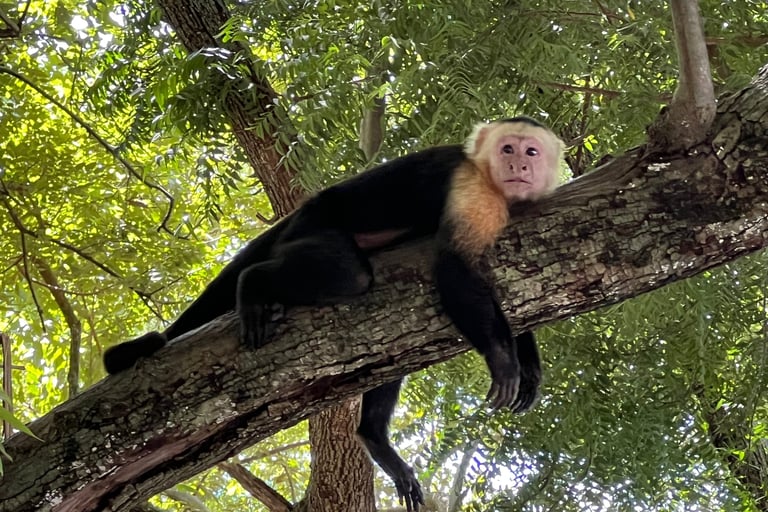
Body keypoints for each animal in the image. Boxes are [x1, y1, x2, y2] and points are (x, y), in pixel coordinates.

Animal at [103, 117, 564, 512]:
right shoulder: (472, 190)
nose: (518, 164)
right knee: (350, 274)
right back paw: (254, 285)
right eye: (507, 148)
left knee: (394, 353)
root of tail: (303, 208)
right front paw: (502, 359)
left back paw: (374, 438)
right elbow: (454, 267)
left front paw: (529, 363)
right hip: (315, 222)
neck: (490, 179)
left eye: (531, 151)